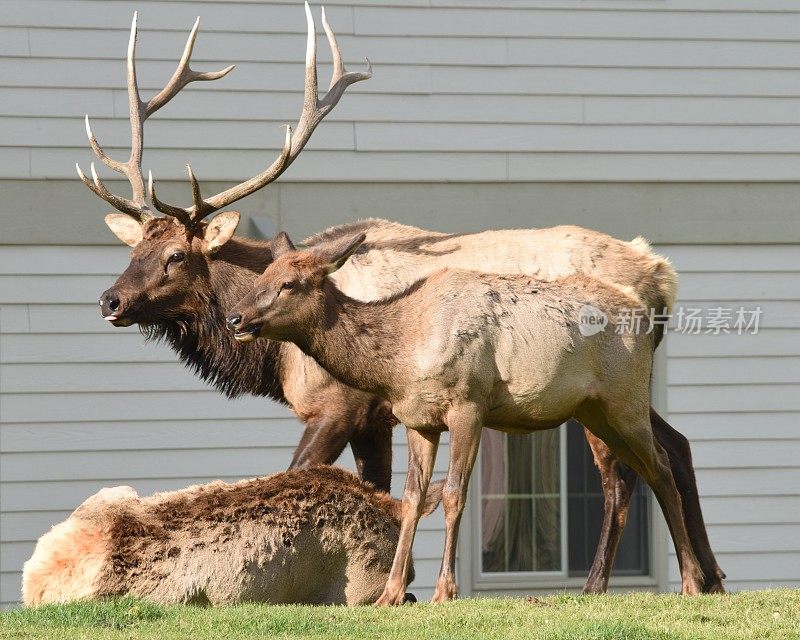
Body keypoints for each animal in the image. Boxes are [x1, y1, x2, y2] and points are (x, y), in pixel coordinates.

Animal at [227, 232, 708, 604]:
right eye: (261, 277)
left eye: (289, 283)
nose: (235, 317)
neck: (400, 359)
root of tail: (649, 314)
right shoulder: (418, 421)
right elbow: (412, 499)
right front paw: (390, 594)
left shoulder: (468, 403)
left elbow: (455, 494)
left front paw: (444, 591)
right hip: (595, 410)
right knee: (655, 464)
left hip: (625, 398)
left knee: (661, 466)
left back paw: (691, 582)